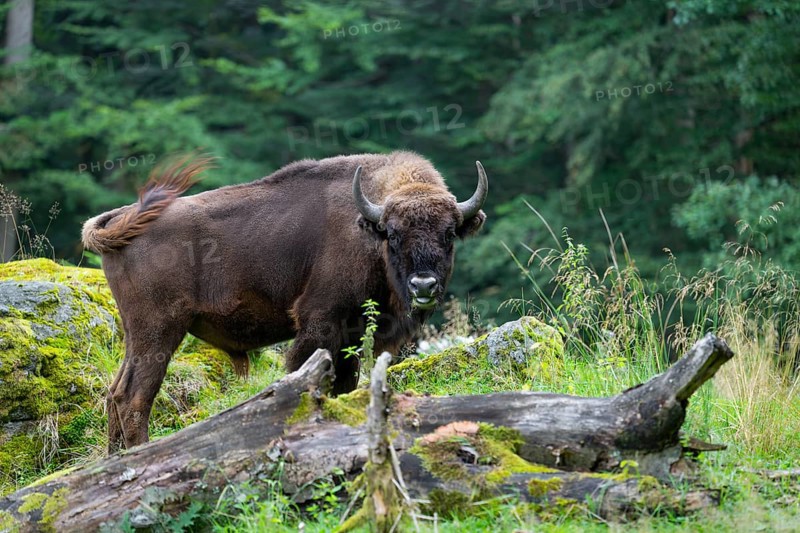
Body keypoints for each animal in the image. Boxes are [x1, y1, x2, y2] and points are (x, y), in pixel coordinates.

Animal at [81, 151, 488, 452]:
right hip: (159, 331)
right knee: (134, 397)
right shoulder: (320, 321)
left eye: (449, 233)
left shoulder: (353, 333)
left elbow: (344, 384)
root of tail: (123, 218)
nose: (423, 285)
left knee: (115, 392)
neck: (365, 227)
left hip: (137, 335)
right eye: (393, 234)